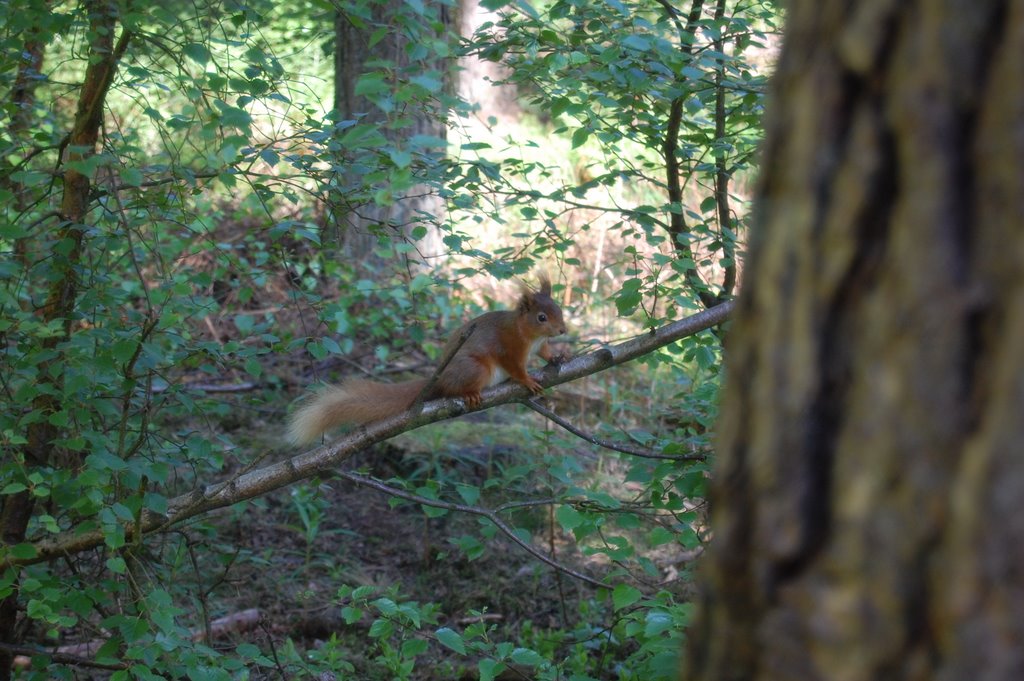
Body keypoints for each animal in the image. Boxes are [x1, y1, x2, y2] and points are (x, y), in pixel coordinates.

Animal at [288, 278, 569, 446]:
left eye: (559, 309)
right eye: (542, 317)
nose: (563, 330)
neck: (528, 334)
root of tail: (439, 378)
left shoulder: (539, 345)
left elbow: (545, 353)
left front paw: (558, 356)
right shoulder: (509, 348)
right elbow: (515, 366)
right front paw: (527, 380)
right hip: (475, 368)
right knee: (457, 387)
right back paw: (469, 393)